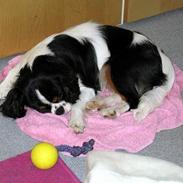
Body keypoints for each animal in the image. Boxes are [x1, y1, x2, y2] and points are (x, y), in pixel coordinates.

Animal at [0, 22, 174, 133]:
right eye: (42, 109)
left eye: (59, 96)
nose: (59, 111)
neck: (47, 57)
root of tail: (161, 56)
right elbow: (9, 77)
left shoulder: (86, 86)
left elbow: (77, 104)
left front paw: (76, 121)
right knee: (121, 95)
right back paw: (99, 103)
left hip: (117, 69)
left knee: (134, 99)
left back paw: (112, 111)